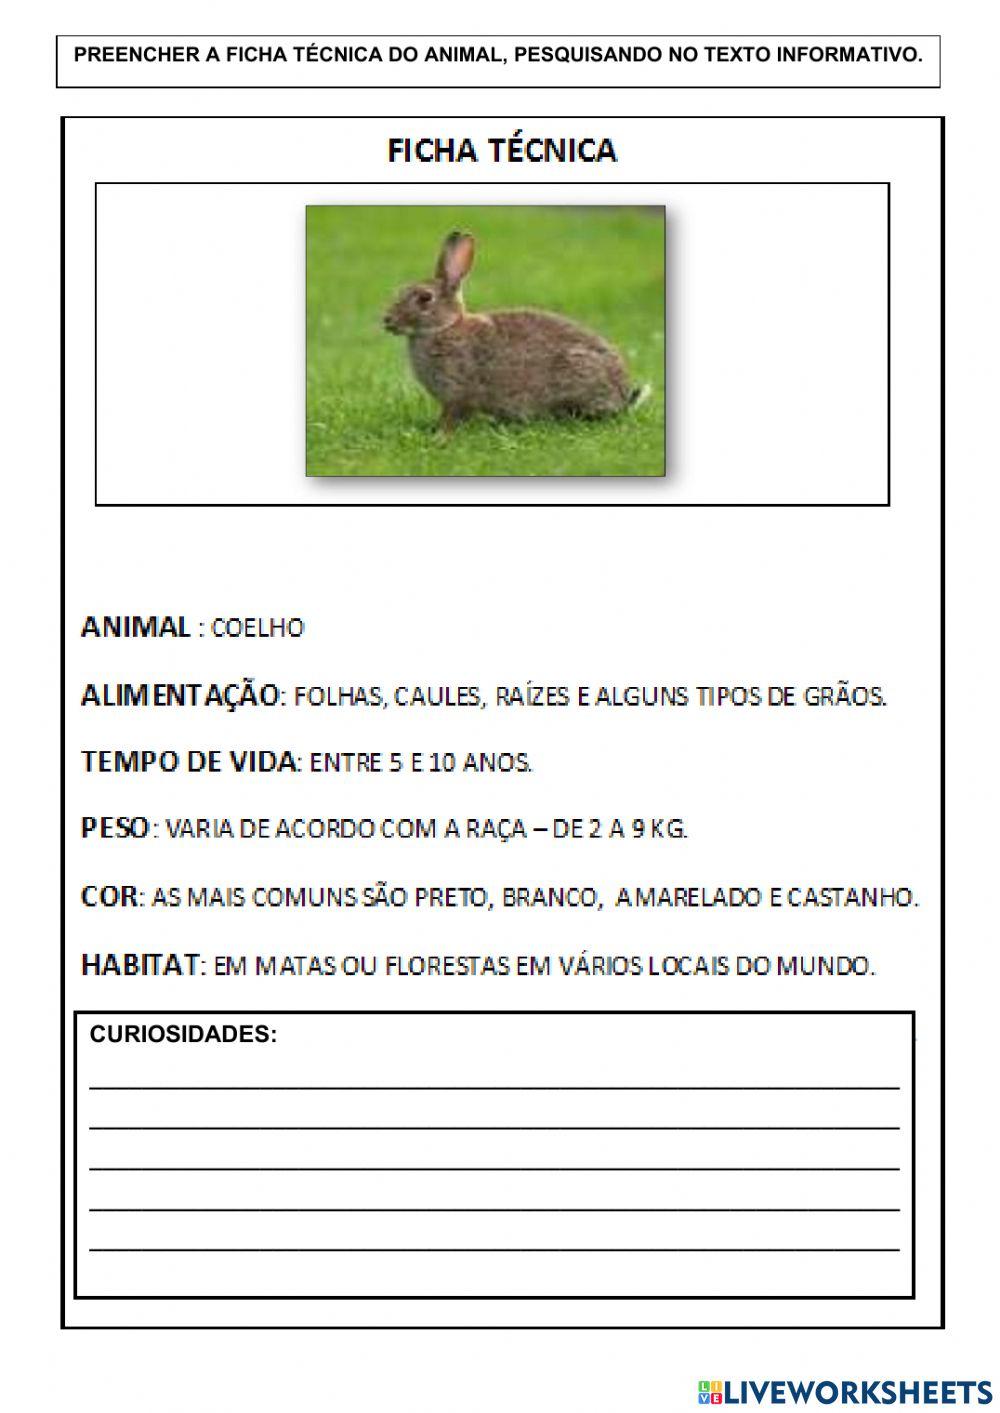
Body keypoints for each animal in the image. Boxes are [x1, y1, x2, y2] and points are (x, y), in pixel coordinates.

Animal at [383, 230, 650, 430]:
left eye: (425, 298)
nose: (387, 320)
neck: (444, 328)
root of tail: (622, 398)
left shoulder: (460, 392)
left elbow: (454, 415)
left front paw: (441, 434)